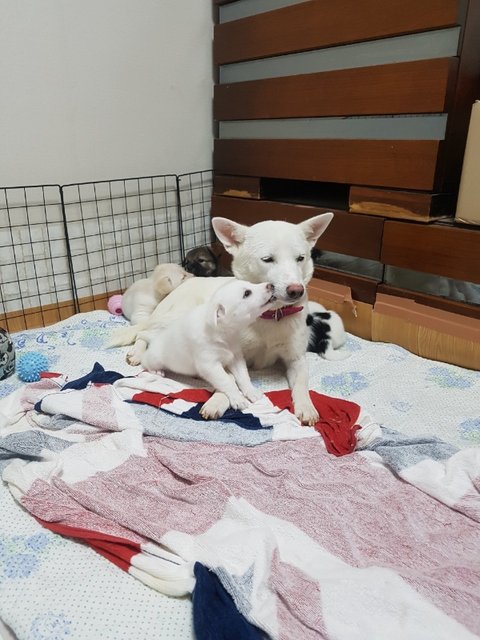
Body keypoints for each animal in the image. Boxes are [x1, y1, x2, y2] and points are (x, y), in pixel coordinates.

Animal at [139, 279, 275, 417]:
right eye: (247, 293)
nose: (271, 285)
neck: (224, 334)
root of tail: (154, 339)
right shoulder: (209, 365)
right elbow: (226, 381)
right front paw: (238, 398)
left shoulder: (235, 357)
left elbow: (243, 376)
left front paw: (251, 391)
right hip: (155, 358)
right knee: (145, 361)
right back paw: (156, 370)